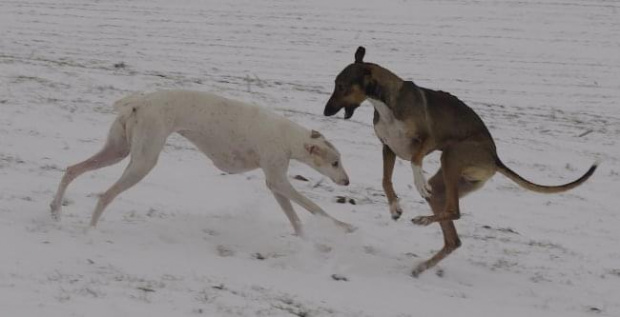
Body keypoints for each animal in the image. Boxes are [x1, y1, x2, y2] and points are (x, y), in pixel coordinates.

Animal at [50, 89, 352, 235]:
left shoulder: (275, 183)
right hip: (143, 161)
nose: (347, 181)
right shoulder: (278, 178)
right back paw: (90, 231)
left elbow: (295, 216)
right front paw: (344, 227)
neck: (288, 136)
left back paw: (55, 212)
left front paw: (308, 240)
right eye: (335, 163)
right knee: (105, 195)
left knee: (71, 170)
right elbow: (314, 207)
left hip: (118, 150)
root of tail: (139, 102)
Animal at [322, 45, 600, 276]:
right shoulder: (388, 148)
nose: (325, 111)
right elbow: (385, 180)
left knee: (454, 211)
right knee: (453, 236)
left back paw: (423, 218)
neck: (386, 103)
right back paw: (423, 261)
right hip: (444, 187)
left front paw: (418, 180)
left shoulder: (430, 139)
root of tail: (495, 159)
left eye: (342, 86)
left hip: (452, 155)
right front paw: (394, 207)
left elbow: (415, 159)